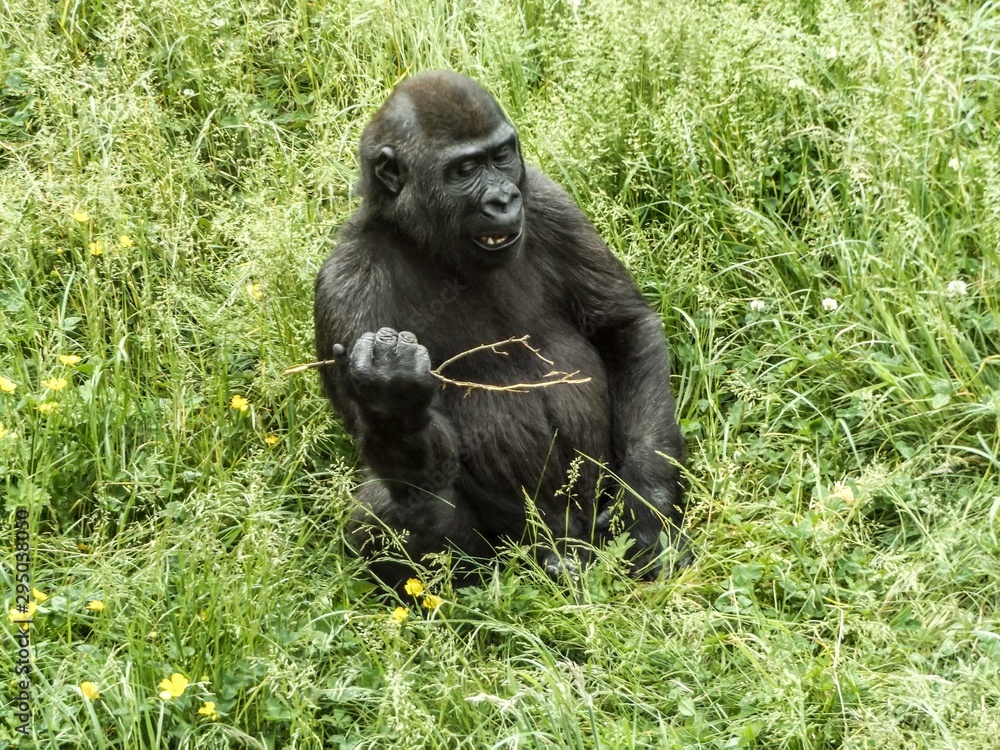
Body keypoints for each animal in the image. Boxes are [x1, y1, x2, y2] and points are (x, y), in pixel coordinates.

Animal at [314, 70, 688, 592]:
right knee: (387, 506)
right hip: (521, 545)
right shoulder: (345, 285)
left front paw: (647, 511)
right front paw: (393, 402)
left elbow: (623, 328)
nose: (503, 199)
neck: (422, 240)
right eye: (465, 169)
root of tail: (569, 542)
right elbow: (418, 466)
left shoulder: (549, 201)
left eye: (501, 156)